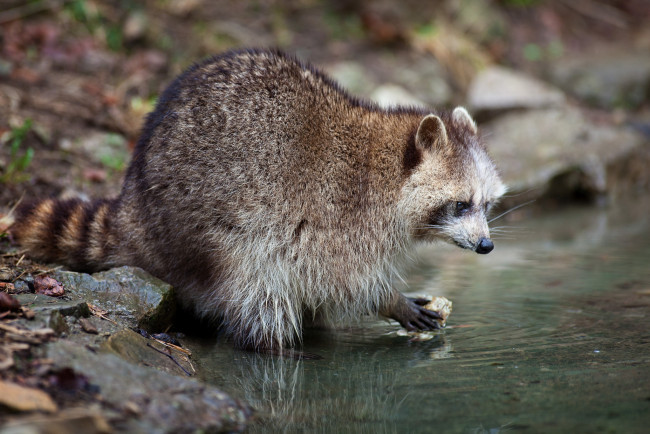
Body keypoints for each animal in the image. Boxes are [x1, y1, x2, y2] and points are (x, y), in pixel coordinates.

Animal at [11, 49, 506, 354]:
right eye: (461, 205)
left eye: (485, 205)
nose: (486, 246)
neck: (386, 165)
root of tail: (136, 204)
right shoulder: (339, 217)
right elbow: (344, 281)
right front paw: (389, 300)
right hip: (210, 230)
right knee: (256, 288)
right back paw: (275, 346)